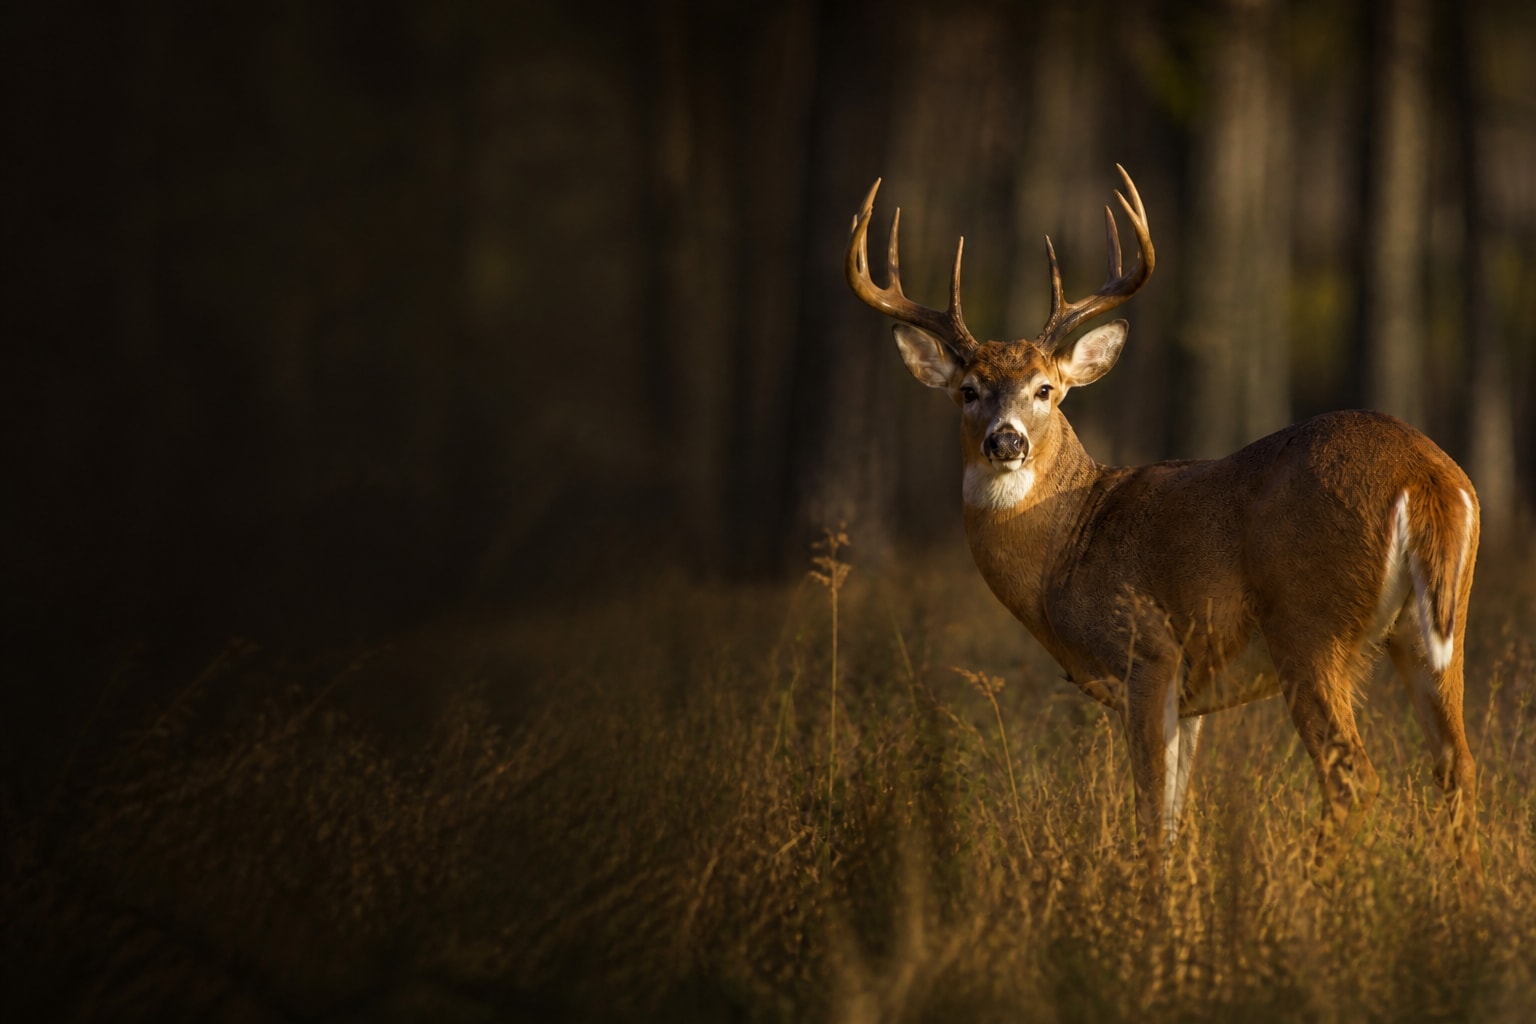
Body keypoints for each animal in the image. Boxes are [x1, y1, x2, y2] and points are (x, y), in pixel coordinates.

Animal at [846, 166, 1480, 874]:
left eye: (1045, 388)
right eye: (968, 390)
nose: (1005, 441)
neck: (1070, 543)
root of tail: (1424, 477)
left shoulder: (1148, 652)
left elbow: (1151, 816)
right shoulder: (1194, 695)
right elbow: (1175, 817)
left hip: (1308, 625)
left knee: (1353, 777)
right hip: (1432, 631)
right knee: (1458, 765)